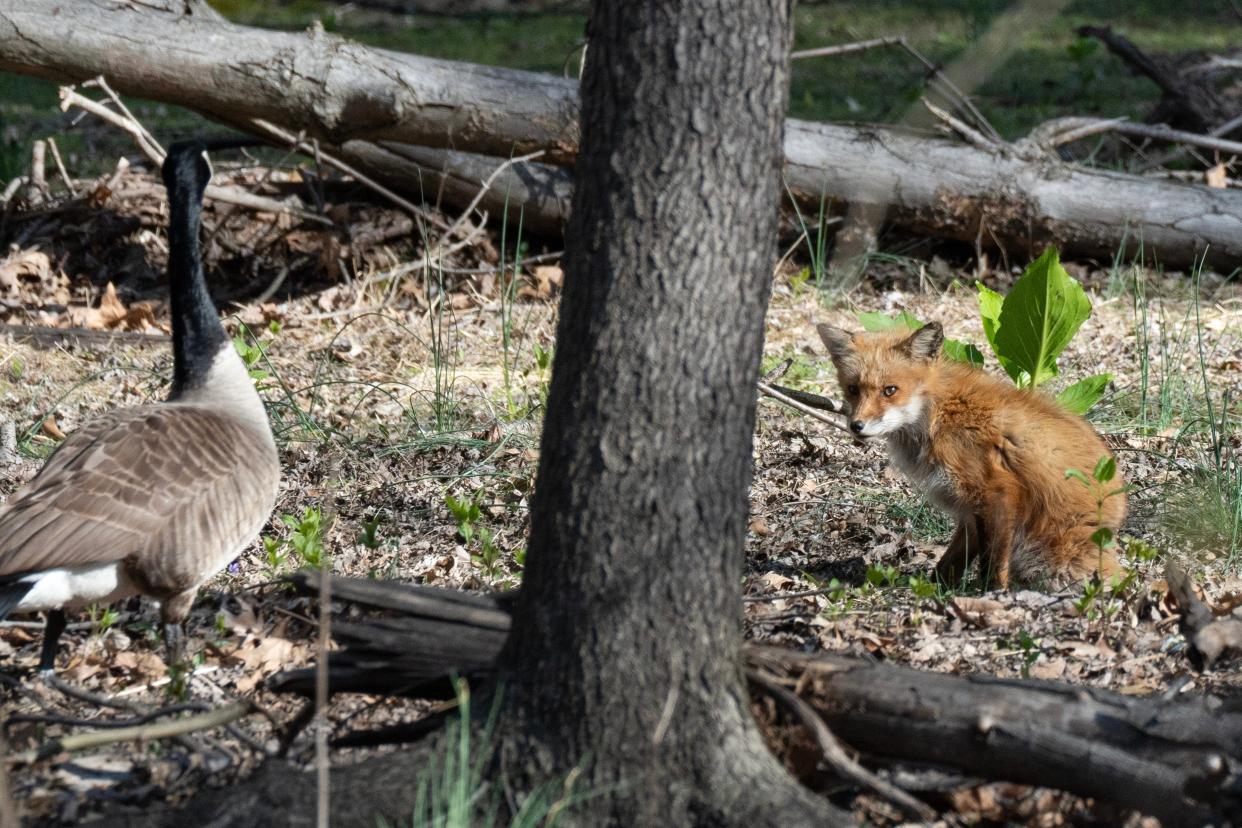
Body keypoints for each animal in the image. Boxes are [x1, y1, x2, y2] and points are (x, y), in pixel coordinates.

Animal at [814, 320, 1127, 588]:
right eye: (853, 390)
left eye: (889, 390)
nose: (856, 426)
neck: (937, 414)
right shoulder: (969, 510)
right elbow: (949, 564)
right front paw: (934, 591)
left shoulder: (997, 493)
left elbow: (993, 565)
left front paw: (991, 595)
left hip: (1051, 560)